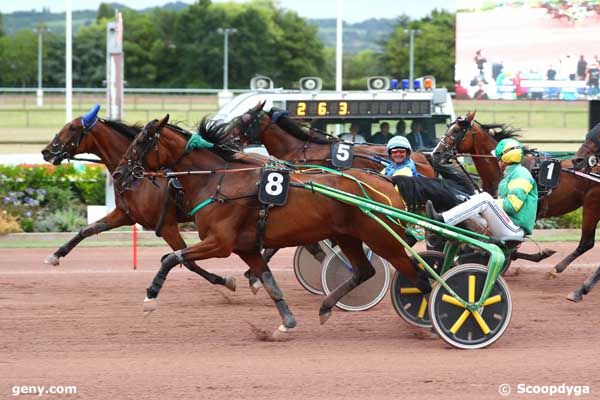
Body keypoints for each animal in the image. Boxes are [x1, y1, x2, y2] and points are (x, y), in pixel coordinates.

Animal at [39, 105, 234, 290]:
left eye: (72, 127)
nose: (46, 151)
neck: (138, 178)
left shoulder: (167, 226)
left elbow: (187, 260)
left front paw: (224, 280)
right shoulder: (125, 214)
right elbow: (88, 229)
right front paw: (55, 255)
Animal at [112, 115, 428, 334]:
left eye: (141, 141)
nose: (118, 173)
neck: (218, 181)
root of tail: (388, 182)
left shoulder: (219, 243)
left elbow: (171, 258)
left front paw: (151, 296)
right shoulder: (246, 248)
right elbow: (269, 282)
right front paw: (286, 322)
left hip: (382, 239)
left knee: (419, 276)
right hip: (349, 236)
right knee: (364, 271)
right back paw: (326, 306)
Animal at [432, 111, 596, 276]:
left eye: (456, 131)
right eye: (449, 128)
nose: (436, 153)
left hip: (591, 204)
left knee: (587, 242)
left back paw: (556, 269)